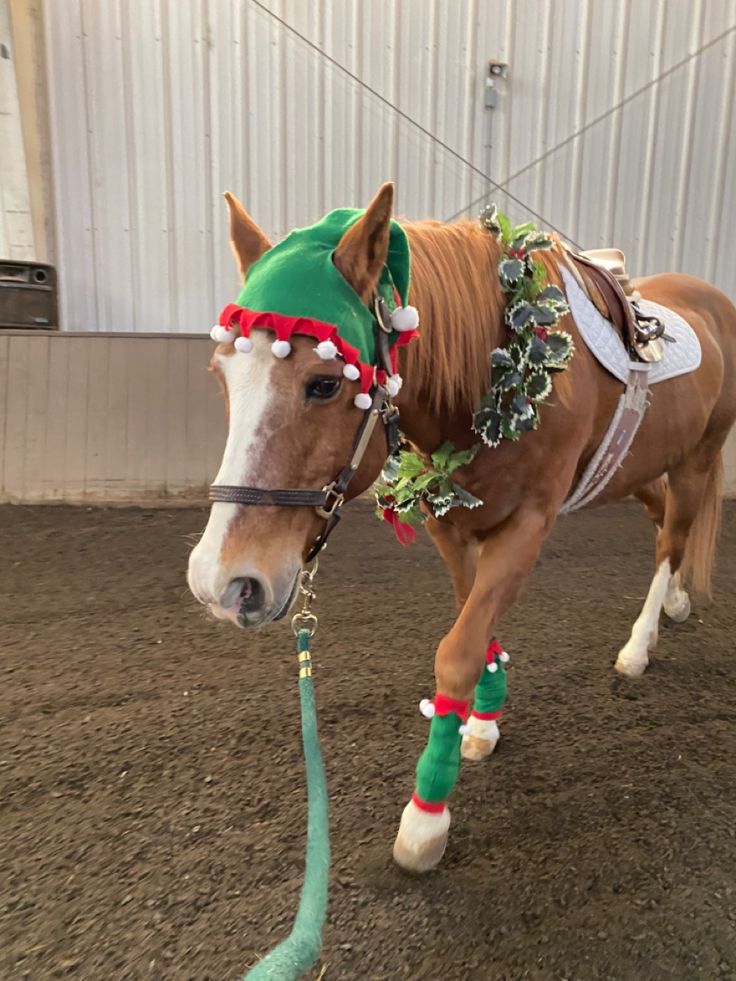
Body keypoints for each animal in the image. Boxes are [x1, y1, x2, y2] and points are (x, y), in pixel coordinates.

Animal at [188, 184, 736, 872]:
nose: (221, 582)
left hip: (696, 459)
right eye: (219, 374)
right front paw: (484, 719)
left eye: (323, 383)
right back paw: (678, 604)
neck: (493, 374)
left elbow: (457, 652)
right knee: (668, 524)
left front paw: (426, 818)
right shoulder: (448, 521)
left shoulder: (527, 527)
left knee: (672, 538)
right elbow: (470, 616)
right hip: (638, 466)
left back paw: (640, 644)